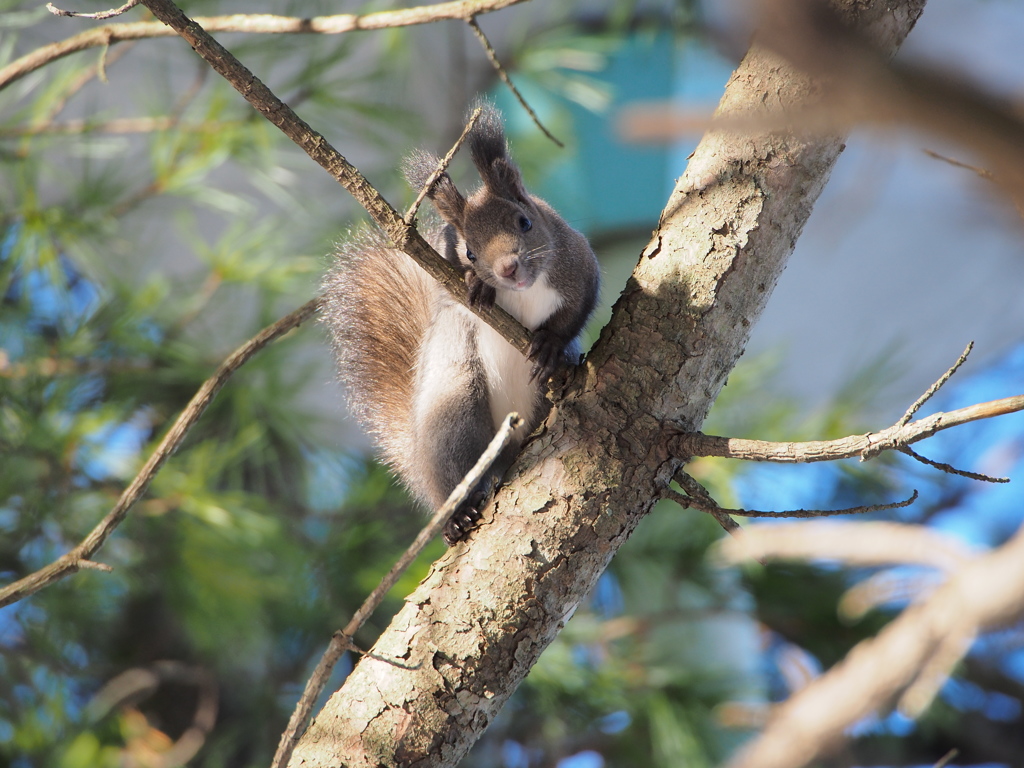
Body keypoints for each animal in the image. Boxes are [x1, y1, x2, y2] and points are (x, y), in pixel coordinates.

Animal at [323, 103, 598, 548]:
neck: (522, 290)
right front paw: (476, 284)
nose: (507, 268)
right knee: (456, 465)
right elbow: (447, 286)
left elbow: (578, 311)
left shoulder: (579, 264)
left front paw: (553, 346)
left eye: (524, 221)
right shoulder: (446, 274)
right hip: (454, 407)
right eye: (469, 251)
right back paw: (457, 515)